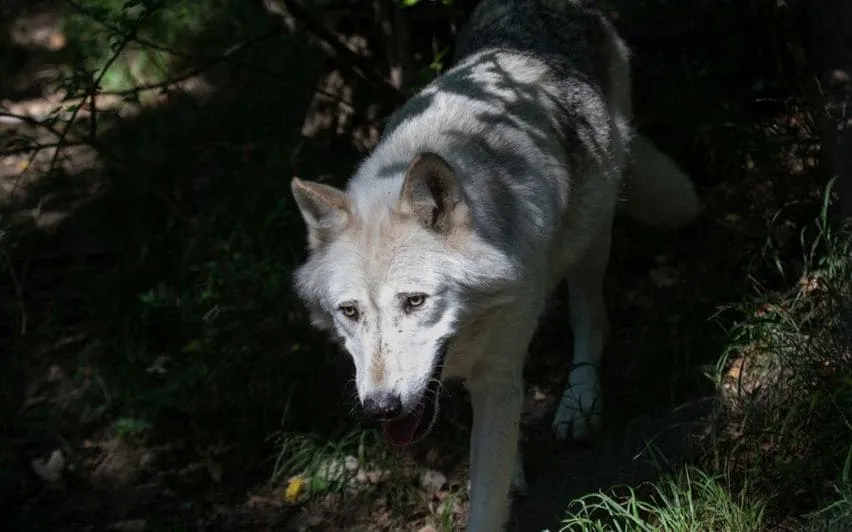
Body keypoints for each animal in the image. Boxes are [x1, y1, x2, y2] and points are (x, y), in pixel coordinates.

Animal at [289, 0, 699, 529]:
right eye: (349, 312)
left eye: (415, 301)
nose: (381, 408)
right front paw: (513, 469)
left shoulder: (500, 366)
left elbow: (485, 495)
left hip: (594, 236)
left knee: (591, 318)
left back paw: (580, 402)